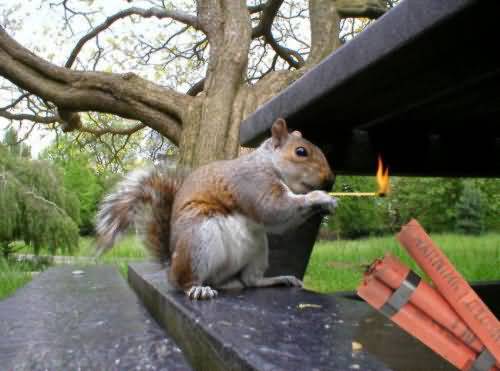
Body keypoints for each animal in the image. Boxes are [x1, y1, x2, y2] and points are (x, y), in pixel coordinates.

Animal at [94, 117, 336, 300]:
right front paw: (318, 197)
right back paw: (197, 288)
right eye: (301, 152)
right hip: (198, 240)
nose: (329, 179)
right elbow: (273, 210)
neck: (268, 163)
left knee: (251, 281)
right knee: (183, 281)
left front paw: (324, 205)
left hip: (258, 249)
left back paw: (277, 279)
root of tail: (172, 262)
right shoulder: (252, 183)